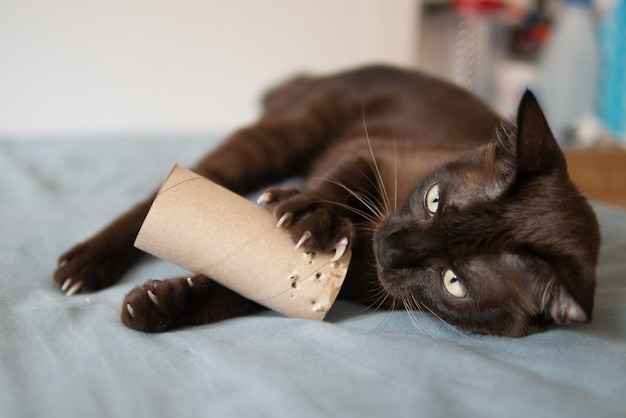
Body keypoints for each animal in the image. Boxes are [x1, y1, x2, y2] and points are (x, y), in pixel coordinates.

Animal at [53, 67, 600, 338]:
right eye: (434, 200)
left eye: (454, 282)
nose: (388, 251)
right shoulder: (368, 153)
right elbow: (333, 190)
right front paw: (311, 216)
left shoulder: (347, 283)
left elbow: (249, 287)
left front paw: (159, 306)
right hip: (280, 139)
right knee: (157, 199)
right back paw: (82, 267)